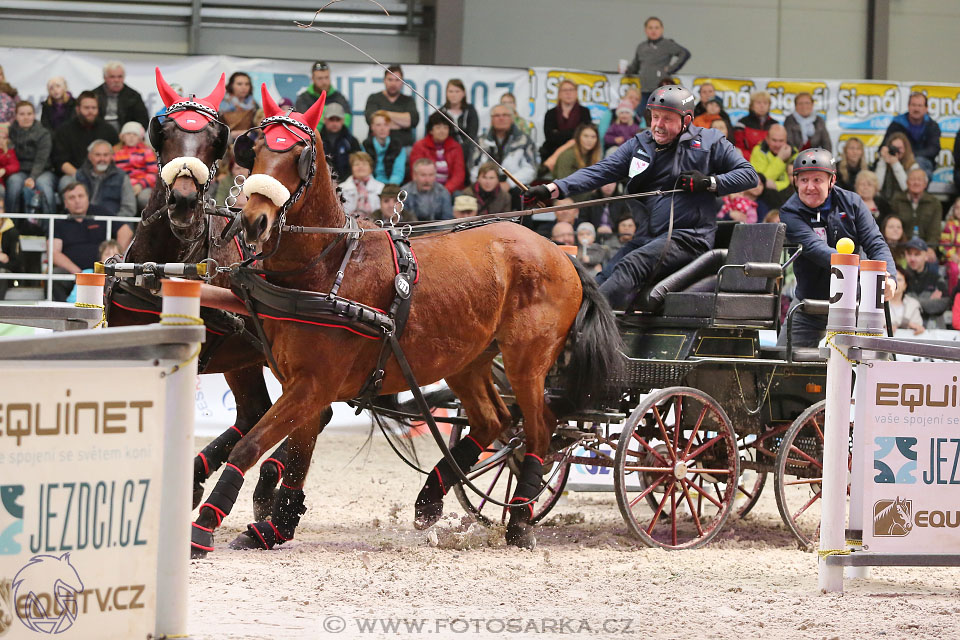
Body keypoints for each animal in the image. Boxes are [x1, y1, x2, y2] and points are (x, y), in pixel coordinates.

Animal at [188, 87, 624, 556]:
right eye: (256, 149)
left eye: (298, 154)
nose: (253, 221)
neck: (326, 269)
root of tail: (561, 253)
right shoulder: (300, 385)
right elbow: (298, 456)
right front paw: (275, 526)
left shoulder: (313, 385)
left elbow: (249, 447)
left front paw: (205, 526)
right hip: (467, 359)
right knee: (495, 420)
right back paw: (430, 499)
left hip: (527, 361)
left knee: (539, 429)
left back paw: (521, 521)